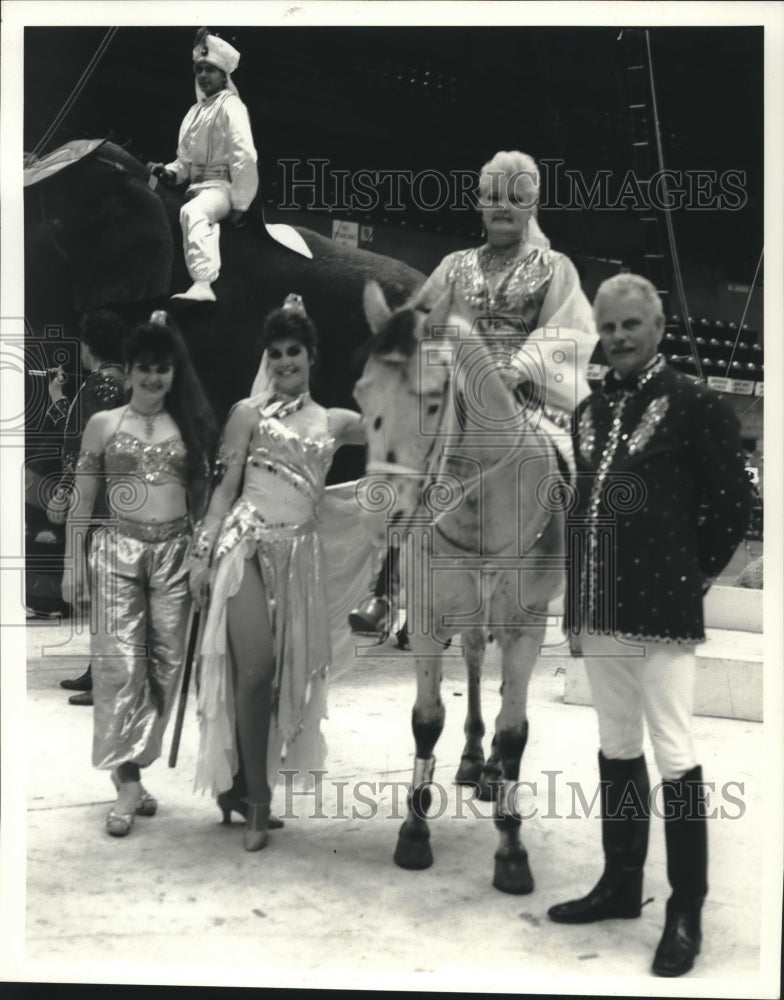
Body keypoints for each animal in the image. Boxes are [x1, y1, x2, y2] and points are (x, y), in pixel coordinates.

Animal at [352, 280, 568, 892]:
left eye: (431, 401)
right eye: (361, 393)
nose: (381, 511)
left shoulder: (526, 627)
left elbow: (515, 730)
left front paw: (512, 849)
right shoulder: (427, 619)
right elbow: (427, 720)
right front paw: (414, 831)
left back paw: (490, 768)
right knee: (472, 662)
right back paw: (474, 759)